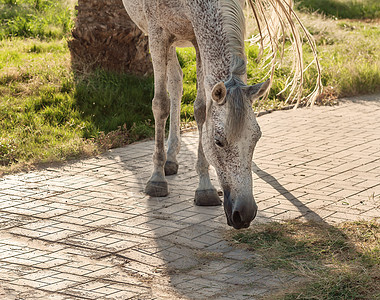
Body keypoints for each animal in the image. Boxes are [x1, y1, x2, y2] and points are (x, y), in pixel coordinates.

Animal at [121, 0, 320, 229]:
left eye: (257, 138)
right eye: (218, 141)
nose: (244, 213)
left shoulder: (196, 37)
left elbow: (201, 109)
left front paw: (205, 189)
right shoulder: (157, 33)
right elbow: (161, 104)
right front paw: (156, 180)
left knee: (177, 80)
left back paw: (171, 158)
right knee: (174, 83)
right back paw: (166, 163)